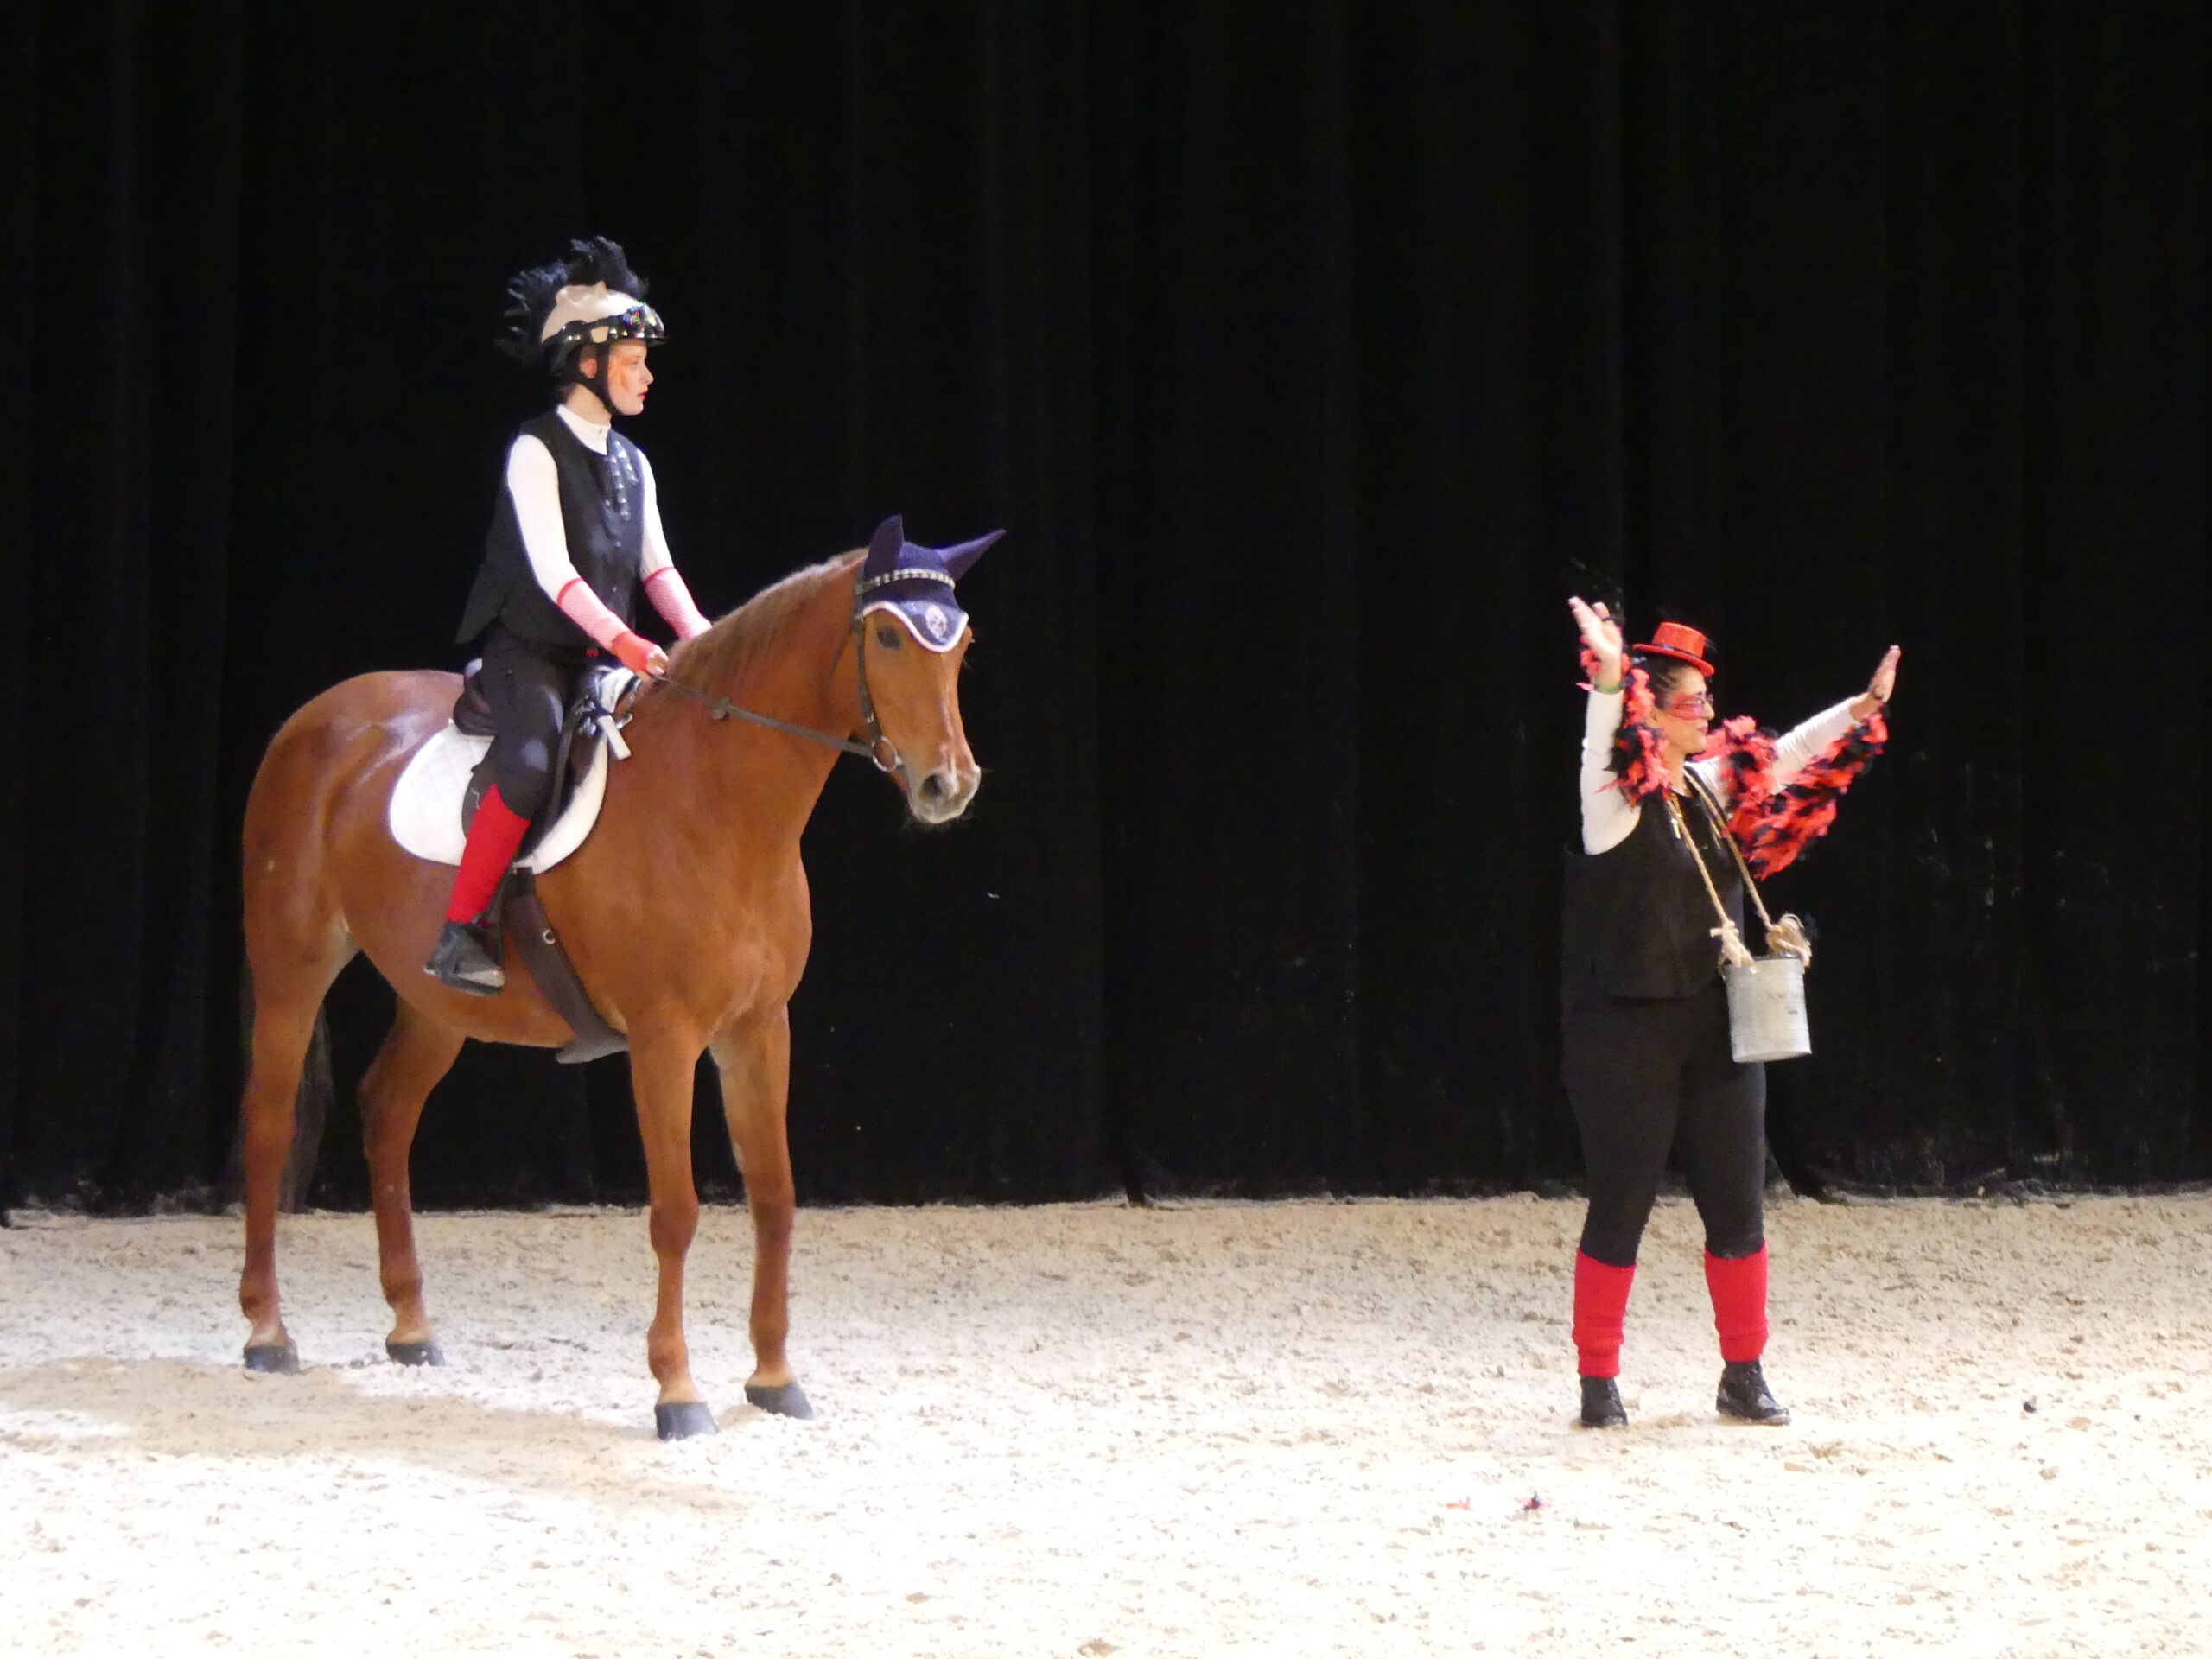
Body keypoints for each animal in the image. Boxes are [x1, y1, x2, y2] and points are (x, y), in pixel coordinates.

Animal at [231, 542, 977, 1442]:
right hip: (294, 966)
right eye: (889, 638)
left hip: (440, 1002)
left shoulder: (760, 1030)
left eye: (962, 646)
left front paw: (774, 1378)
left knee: (387, 1112)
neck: (717, 804)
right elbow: (676, 1212)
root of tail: (313, 720)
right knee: (270, 1127)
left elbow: (775, 1198)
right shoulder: (664, 1041)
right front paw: (678, 1392)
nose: (948, 784)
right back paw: (268, 1332)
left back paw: (410, 1327)